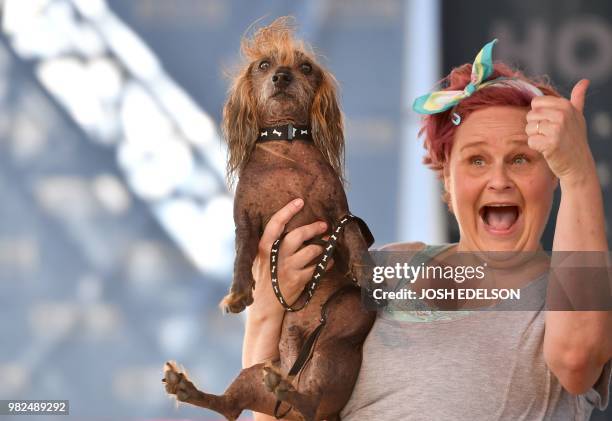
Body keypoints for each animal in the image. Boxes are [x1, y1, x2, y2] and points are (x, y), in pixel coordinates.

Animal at [160, 17, 376, 420]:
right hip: (254, 373)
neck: (284, 143)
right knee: (229, 406)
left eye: (304, 67)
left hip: (338, 336)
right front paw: (238, 293)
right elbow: (242, 256)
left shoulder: (340, 214)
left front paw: (366, 271)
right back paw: (187, 387)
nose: (281, 76)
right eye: (263, 65)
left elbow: (354, 238)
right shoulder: (246, 224)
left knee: (311, 394)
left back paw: (289, 389)